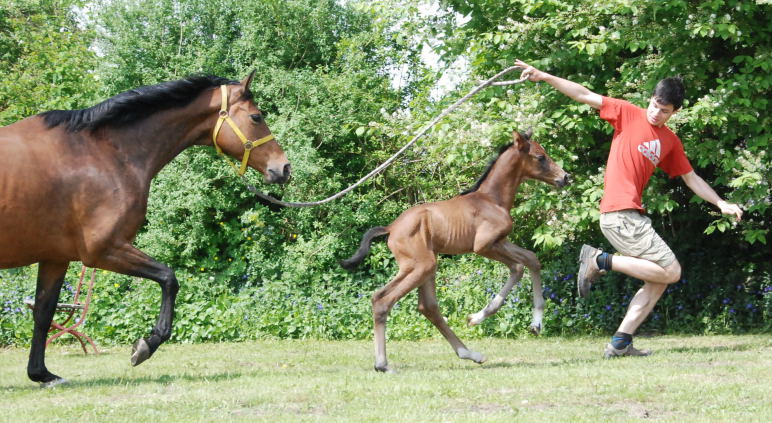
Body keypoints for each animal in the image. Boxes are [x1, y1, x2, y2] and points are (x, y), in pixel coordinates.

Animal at [0, 70, 290, 388]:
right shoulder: (103, 250)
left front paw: (41, 373)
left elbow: (43, 312)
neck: (102, 153)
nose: (284, 168)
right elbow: (169, 278)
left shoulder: (56, 257)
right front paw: (147, 345)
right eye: (256, 117)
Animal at [342, 131, 568, 372]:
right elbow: (518, 267)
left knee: (427, 307)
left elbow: (531, 260)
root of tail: (391, 228)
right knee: (383, 300)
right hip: (421, 265)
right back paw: (383, 364)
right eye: (540, 157)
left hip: (426, 266)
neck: (492, 199)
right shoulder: (484, 245)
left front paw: (535, 324)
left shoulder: (501, 241)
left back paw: (469, 353)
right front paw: (479, 318)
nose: (565, 177)